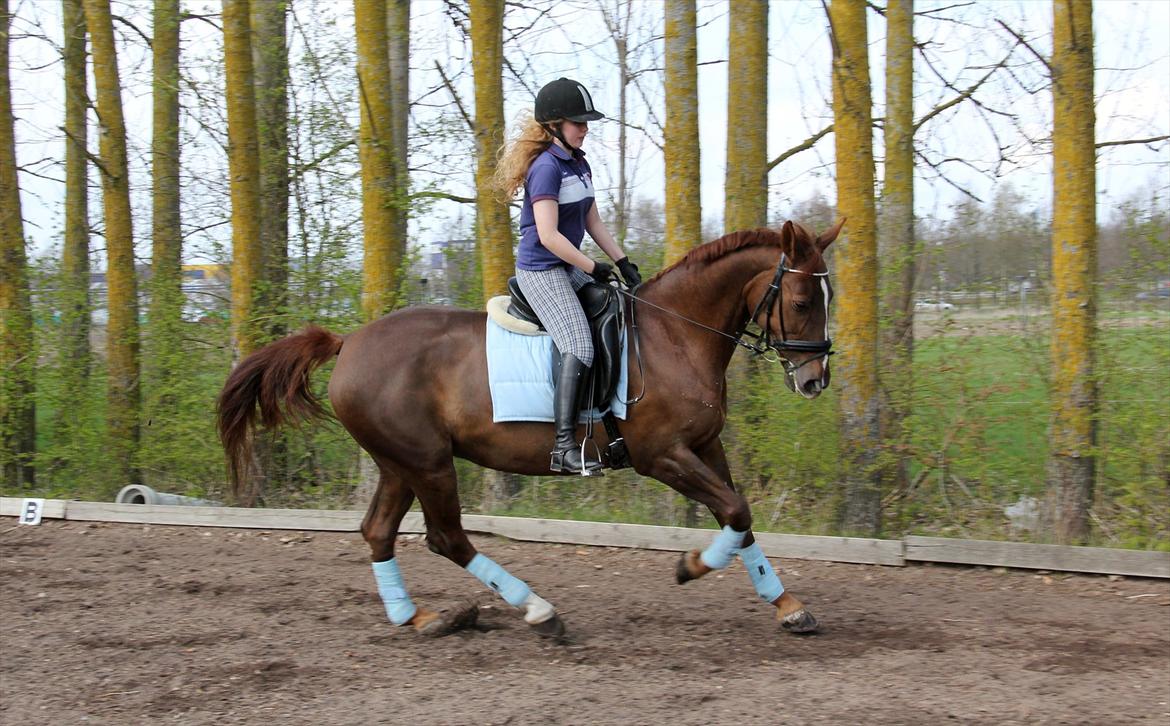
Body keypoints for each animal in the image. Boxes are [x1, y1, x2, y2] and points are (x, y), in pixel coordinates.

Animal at [217, 219, 842, 635]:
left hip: (400, 463)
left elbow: (739, 516)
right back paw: (539, 610)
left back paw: (418, 617)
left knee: (379, 532)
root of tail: (349, 343)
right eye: (802, 300)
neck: (675, 335)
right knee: (446, 537)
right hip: (427, 462)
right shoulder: (661, 454)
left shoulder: (705, 447)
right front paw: (690, 568)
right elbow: (735, 511)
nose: (815, 380)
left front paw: (788, 606)